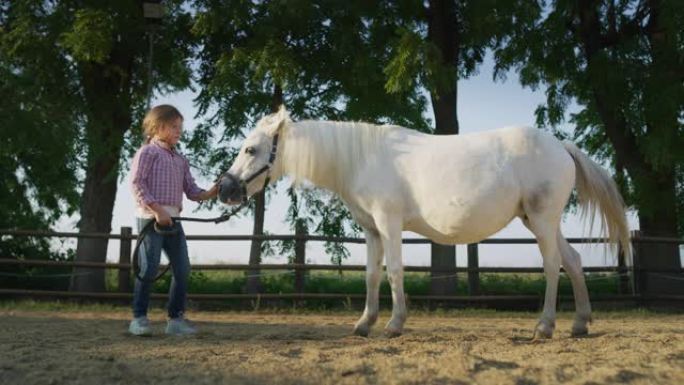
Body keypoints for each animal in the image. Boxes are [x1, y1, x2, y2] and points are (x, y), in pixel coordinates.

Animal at [219, 106, 632, 338]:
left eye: (251, 149)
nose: (225, 188)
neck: (361, 158)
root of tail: (561, 146)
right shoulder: (372, 230)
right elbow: (372, 275)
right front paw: (364, 324)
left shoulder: (389, 224)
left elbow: (394, 272)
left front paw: (394, 325)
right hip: (539, 220)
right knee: (573, 262)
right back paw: (579, 324)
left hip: (543, 221)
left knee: (552, 266)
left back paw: (545, 327)